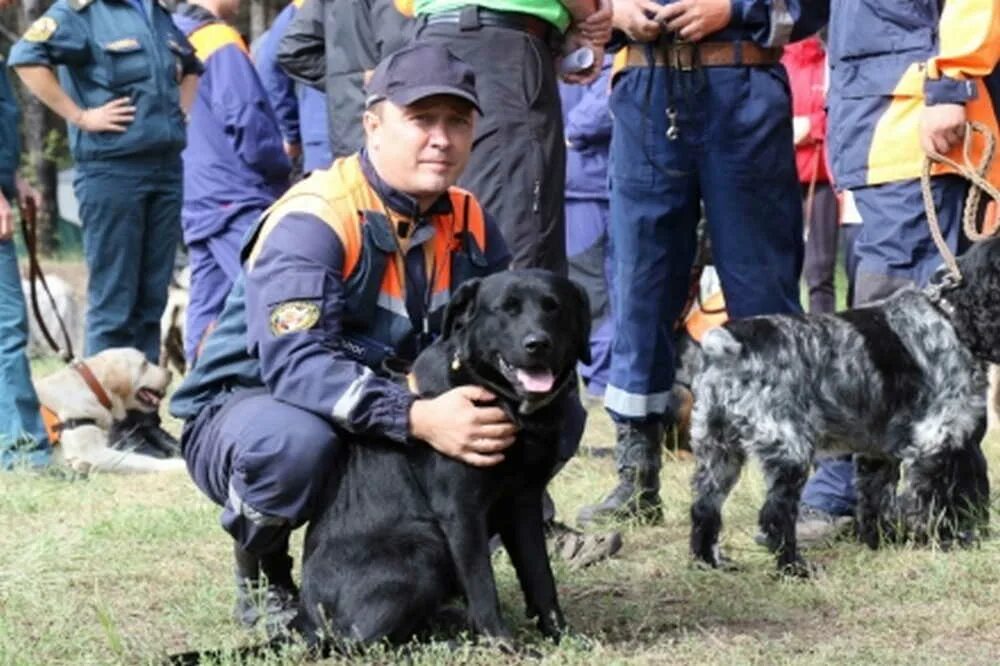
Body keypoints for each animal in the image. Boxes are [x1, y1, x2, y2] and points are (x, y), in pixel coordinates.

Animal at [35, 348, 188, 472]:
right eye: (144, 364)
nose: (170, 372)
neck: (92, 389)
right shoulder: (93, 452)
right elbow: (144, 460)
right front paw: (179, 464)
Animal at [296, 268, 588, 648]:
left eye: (553, 307)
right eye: (506, 309)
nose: (537, 343)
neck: (505, 403)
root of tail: (308, 622)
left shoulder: (524, 503)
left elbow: (540, 576)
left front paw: (560, 634)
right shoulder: (461, 510)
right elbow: (482, 585)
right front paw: (501, 643)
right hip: (425, 547)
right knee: (359, 642)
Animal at [688, 236, 1000, 572]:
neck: (950, 315)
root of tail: (730, 346)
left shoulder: (877, 454)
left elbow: (875, 500)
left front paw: (883, 542)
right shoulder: (934, 441)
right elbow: (937, 501)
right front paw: (948, 541)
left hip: (718, 450)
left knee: (704, 507)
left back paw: (709, 562)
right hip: (789, 451)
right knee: (775, 515)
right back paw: (795, 568)